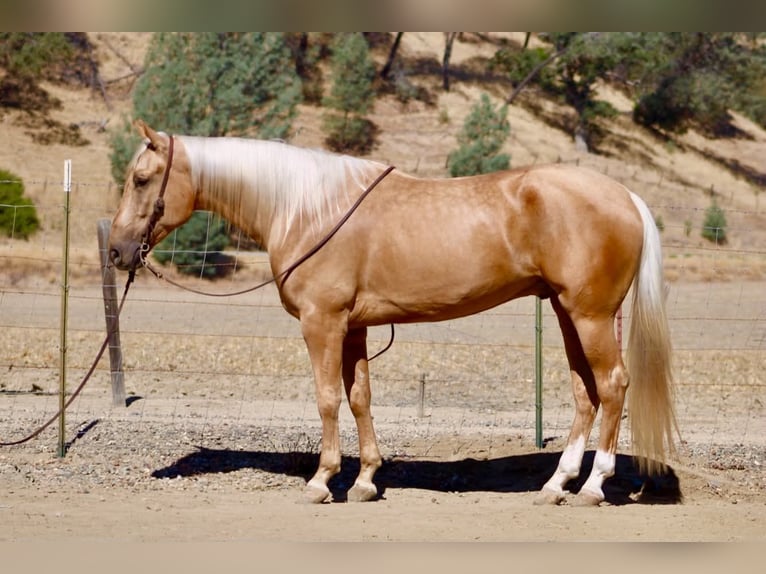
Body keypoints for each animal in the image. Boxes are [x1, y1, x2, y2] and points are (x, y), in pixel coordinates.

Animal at [109, 120, 677, 506]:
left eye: (142, 179)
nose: (117, 251)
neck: (308, 207)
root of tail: (624, 194)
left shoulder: (323, 324)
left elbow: (327, 399)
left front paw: (322, 481)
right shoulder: (354, 328)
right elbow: (359, 398)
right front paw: (364, 481)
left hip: (590, 316)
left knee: (613, 386)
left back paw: (594, 486)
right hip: (566, 313)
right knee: (586, 392)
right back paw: (557, 484)